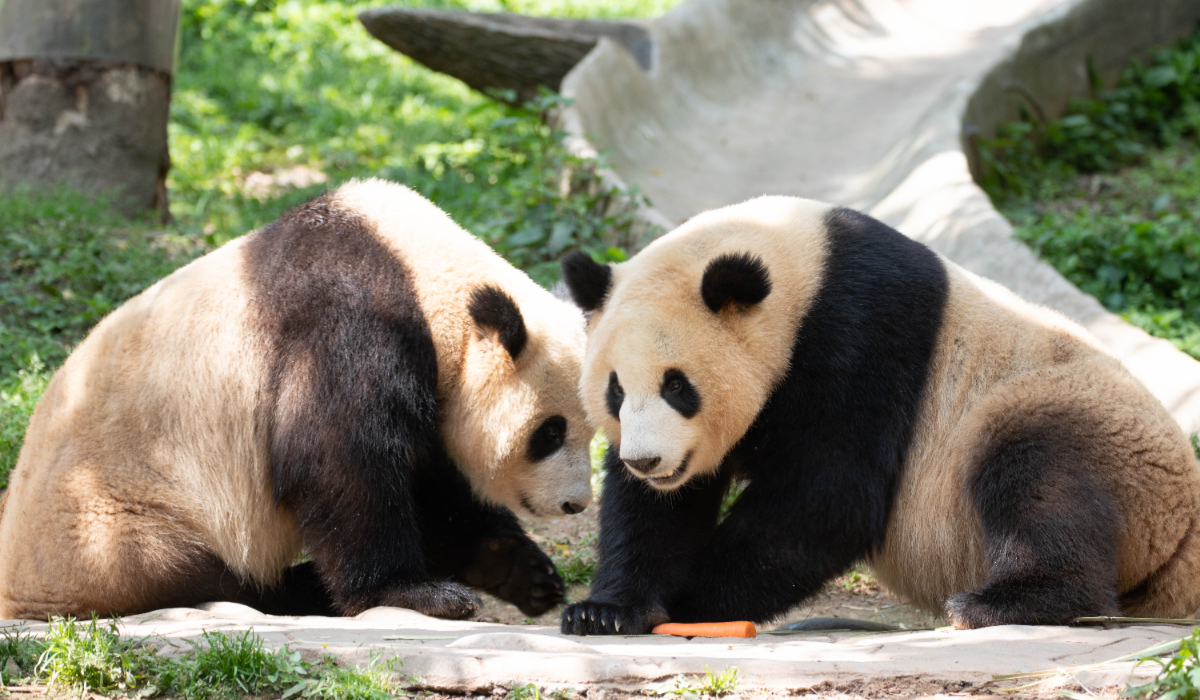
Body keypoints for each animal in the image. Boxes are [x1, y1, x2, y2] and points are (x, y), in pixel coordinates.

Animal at [0, 179, 593, 622]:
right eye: (550, 432)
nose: (575, 505)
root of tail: (16, 591)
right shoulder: (347, 324)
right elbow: (337, 460)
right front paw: (416, 592)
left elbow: (431, 478)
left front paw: (520, 571)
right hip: (118, 522)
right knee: (210, 579)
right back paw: (303, 592)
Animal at [557, 196, 1200, 634]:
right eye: (615, 391)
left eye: (678, 387)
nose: (647, 460)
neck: (798, 263)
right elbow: (656, 511)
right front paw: (607, 612)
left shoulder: (859, 330)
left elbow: (828, 494)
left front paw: (689, 604)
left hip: (1078, 420)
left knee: (1040, 478)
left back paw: (1003, 604)